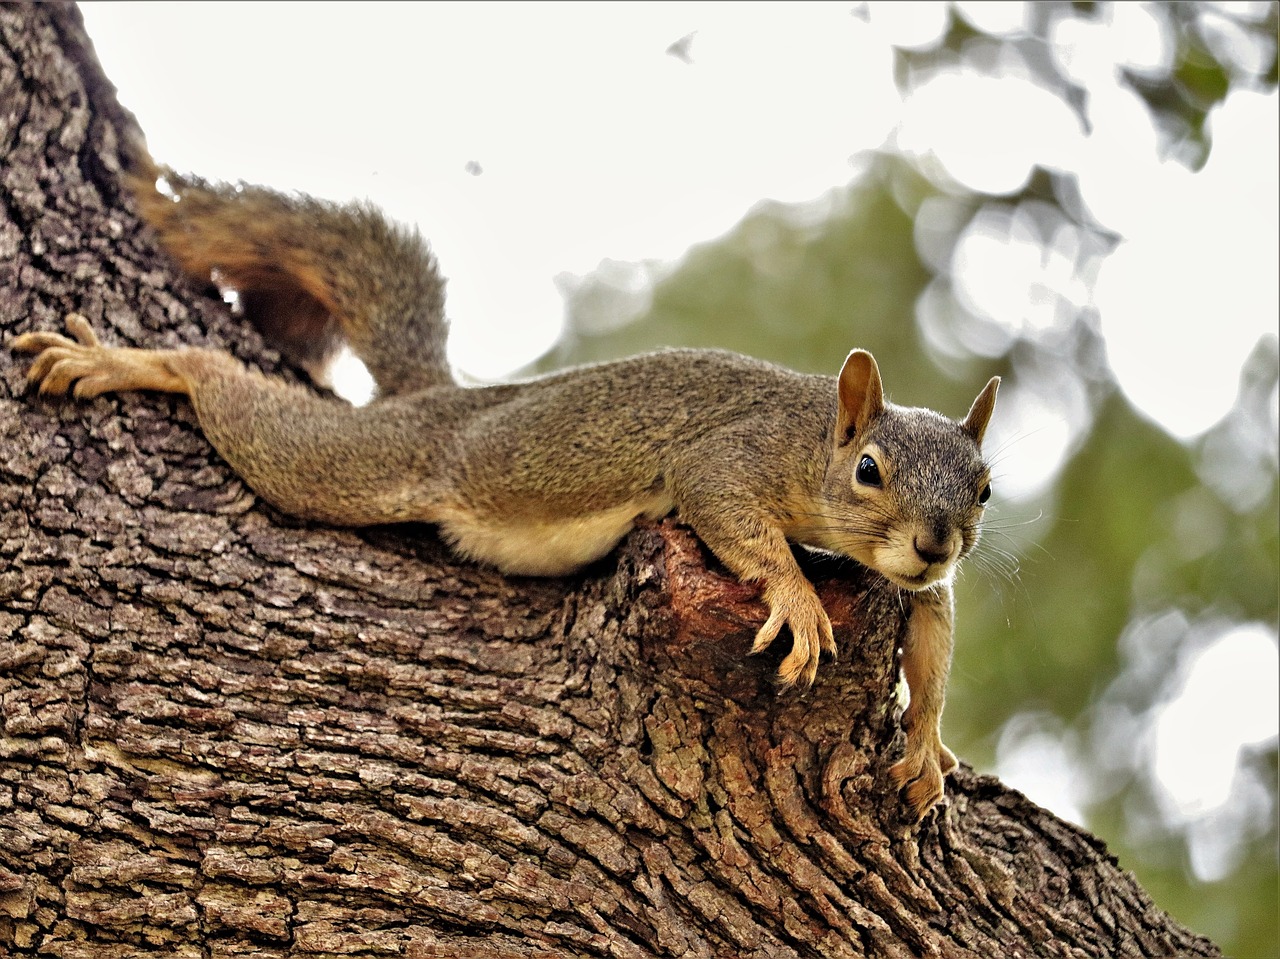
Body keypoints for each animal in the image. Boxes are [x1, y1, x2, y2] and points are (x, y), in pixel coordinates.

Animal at [15, 166, 1003, 824]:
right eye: (869, 470)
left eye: (986, 488)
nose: (935, 543)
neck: (811, 438)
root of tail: (445, 399)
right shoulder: (730, 458)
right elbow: (728, 512)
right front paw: (798, 596)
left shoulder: (915, 582)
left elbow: (934, 633)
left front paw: (927, 742)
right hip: (372, 463)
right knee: (251, 413)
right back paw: (132, 361)